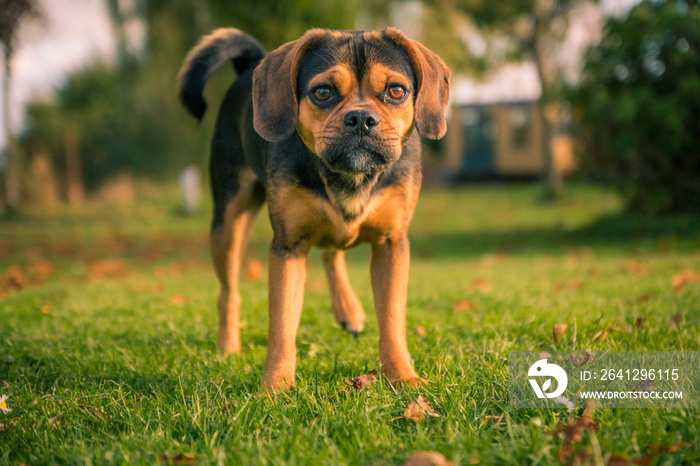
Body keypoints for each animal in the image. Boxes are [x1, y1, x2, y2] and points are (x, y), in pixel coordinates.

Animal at [178, 27, 452, 392]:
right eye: (322, 92)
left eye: (396, 90)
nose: (361, 119)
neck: (348, 177)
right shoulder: (288, 246)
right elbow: (282, 325)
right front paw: (276, 387)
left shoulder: (391, 244)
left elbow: (392, 320)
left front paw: (402, 377)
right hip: (227, 222)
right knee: (228, 292)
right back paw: (228, 348)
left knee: (331, 253)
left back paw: (348, 310)